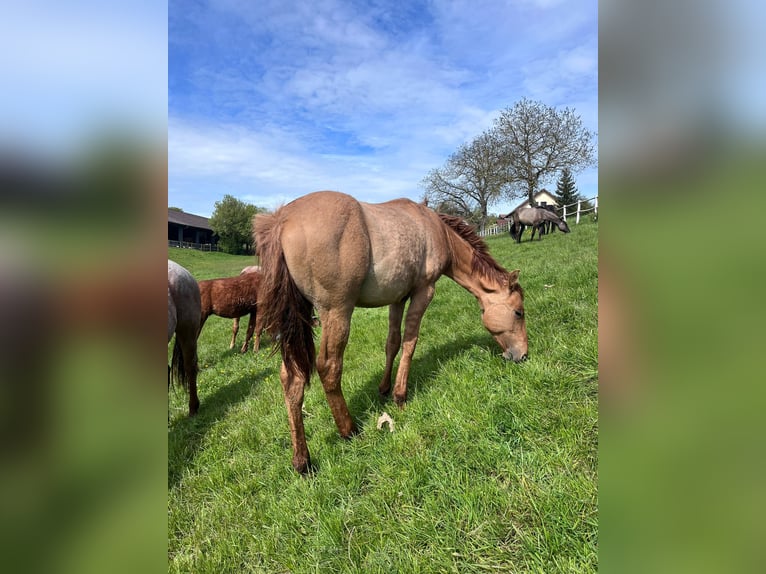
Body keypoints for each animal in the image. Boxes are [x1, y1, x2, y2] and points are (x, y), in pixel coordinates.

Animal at [255, 191, 532, 474]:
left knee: (291, 378)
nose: (522, 355)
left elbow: (393, 343)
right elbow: (410, 342)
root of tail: (282, 220)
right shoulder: (423, 292)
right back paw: (349, 430)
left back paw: (302, 460)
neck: (437, 230)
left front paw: (385, 387)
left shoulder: (397, 299)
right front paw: (400, 396)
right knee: (329, 368)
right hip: (336, 312)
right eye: (519, 312)